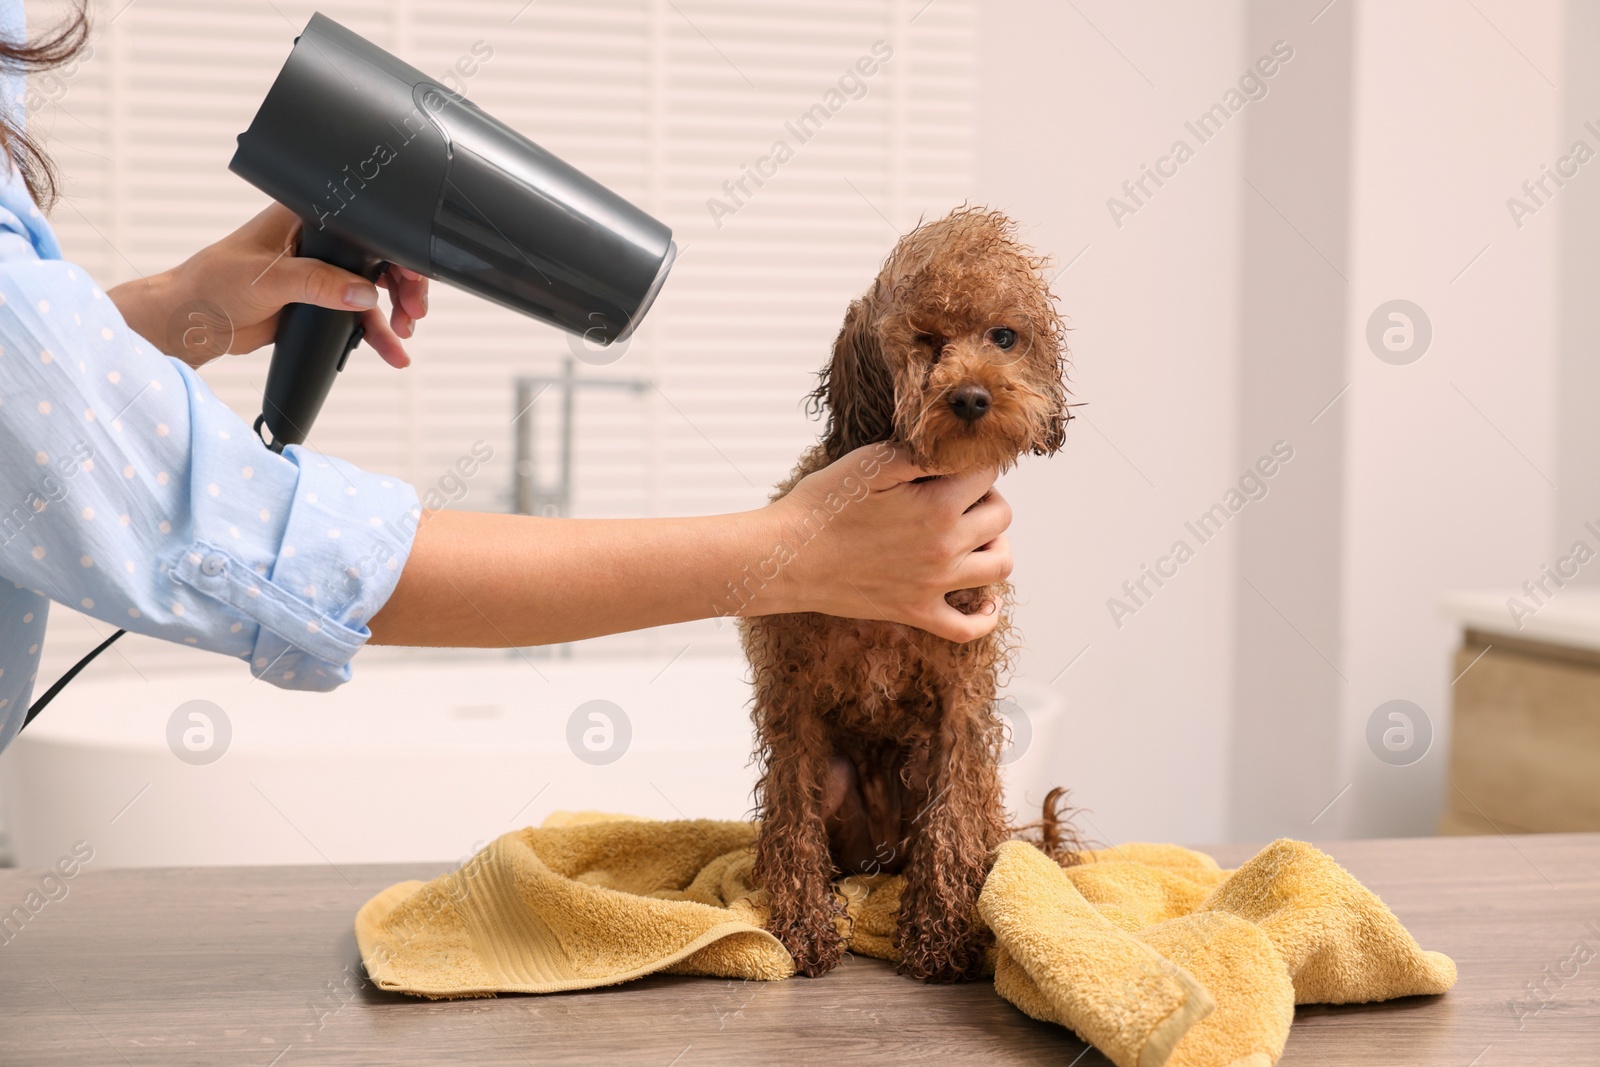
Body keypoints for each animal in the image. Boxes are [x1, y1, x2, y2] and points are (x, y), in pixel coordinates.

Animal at [739, 204, 1068, 979]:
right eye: (926, 340)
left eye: (1004, 336)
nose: (972, 396)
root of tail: (882, 856)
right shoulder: (791, 697)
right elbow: (791, 821)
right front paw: (802, 927)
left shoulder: (960, 699)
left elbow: (951, 824)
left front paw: (942, 933)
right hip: (838, 785)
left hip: (924, 772)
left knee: (971, 829)